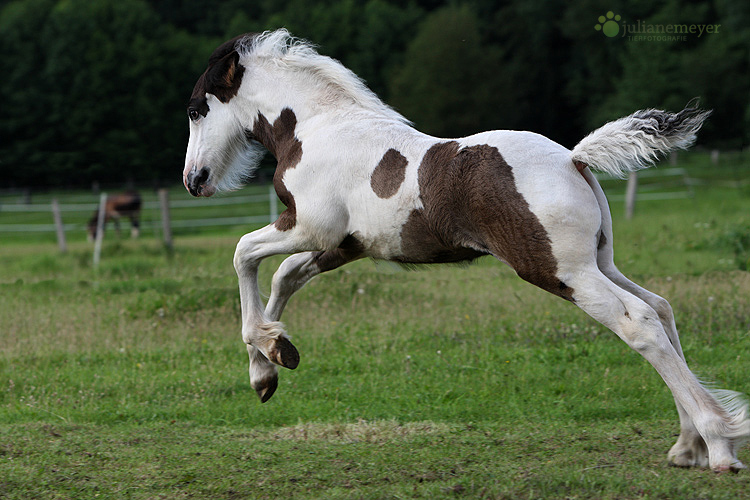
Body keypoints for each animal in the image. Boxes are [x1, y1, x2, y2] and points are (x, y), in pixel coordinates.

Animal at [184, 29, 750, 470]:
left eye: (195, 110)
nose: (194, 180)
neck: (318, 129)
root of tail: (573, 157)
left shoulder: (309, 227)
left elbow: (243, 253)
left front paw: (266, 349)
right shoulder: (342, 246)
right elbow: (283, 277)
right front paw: (270, 364)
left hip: (560, 270)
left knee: (640, 321)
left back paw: (719, 442)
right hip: (599, 262)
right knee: (661, 308)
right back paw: (686, 447)